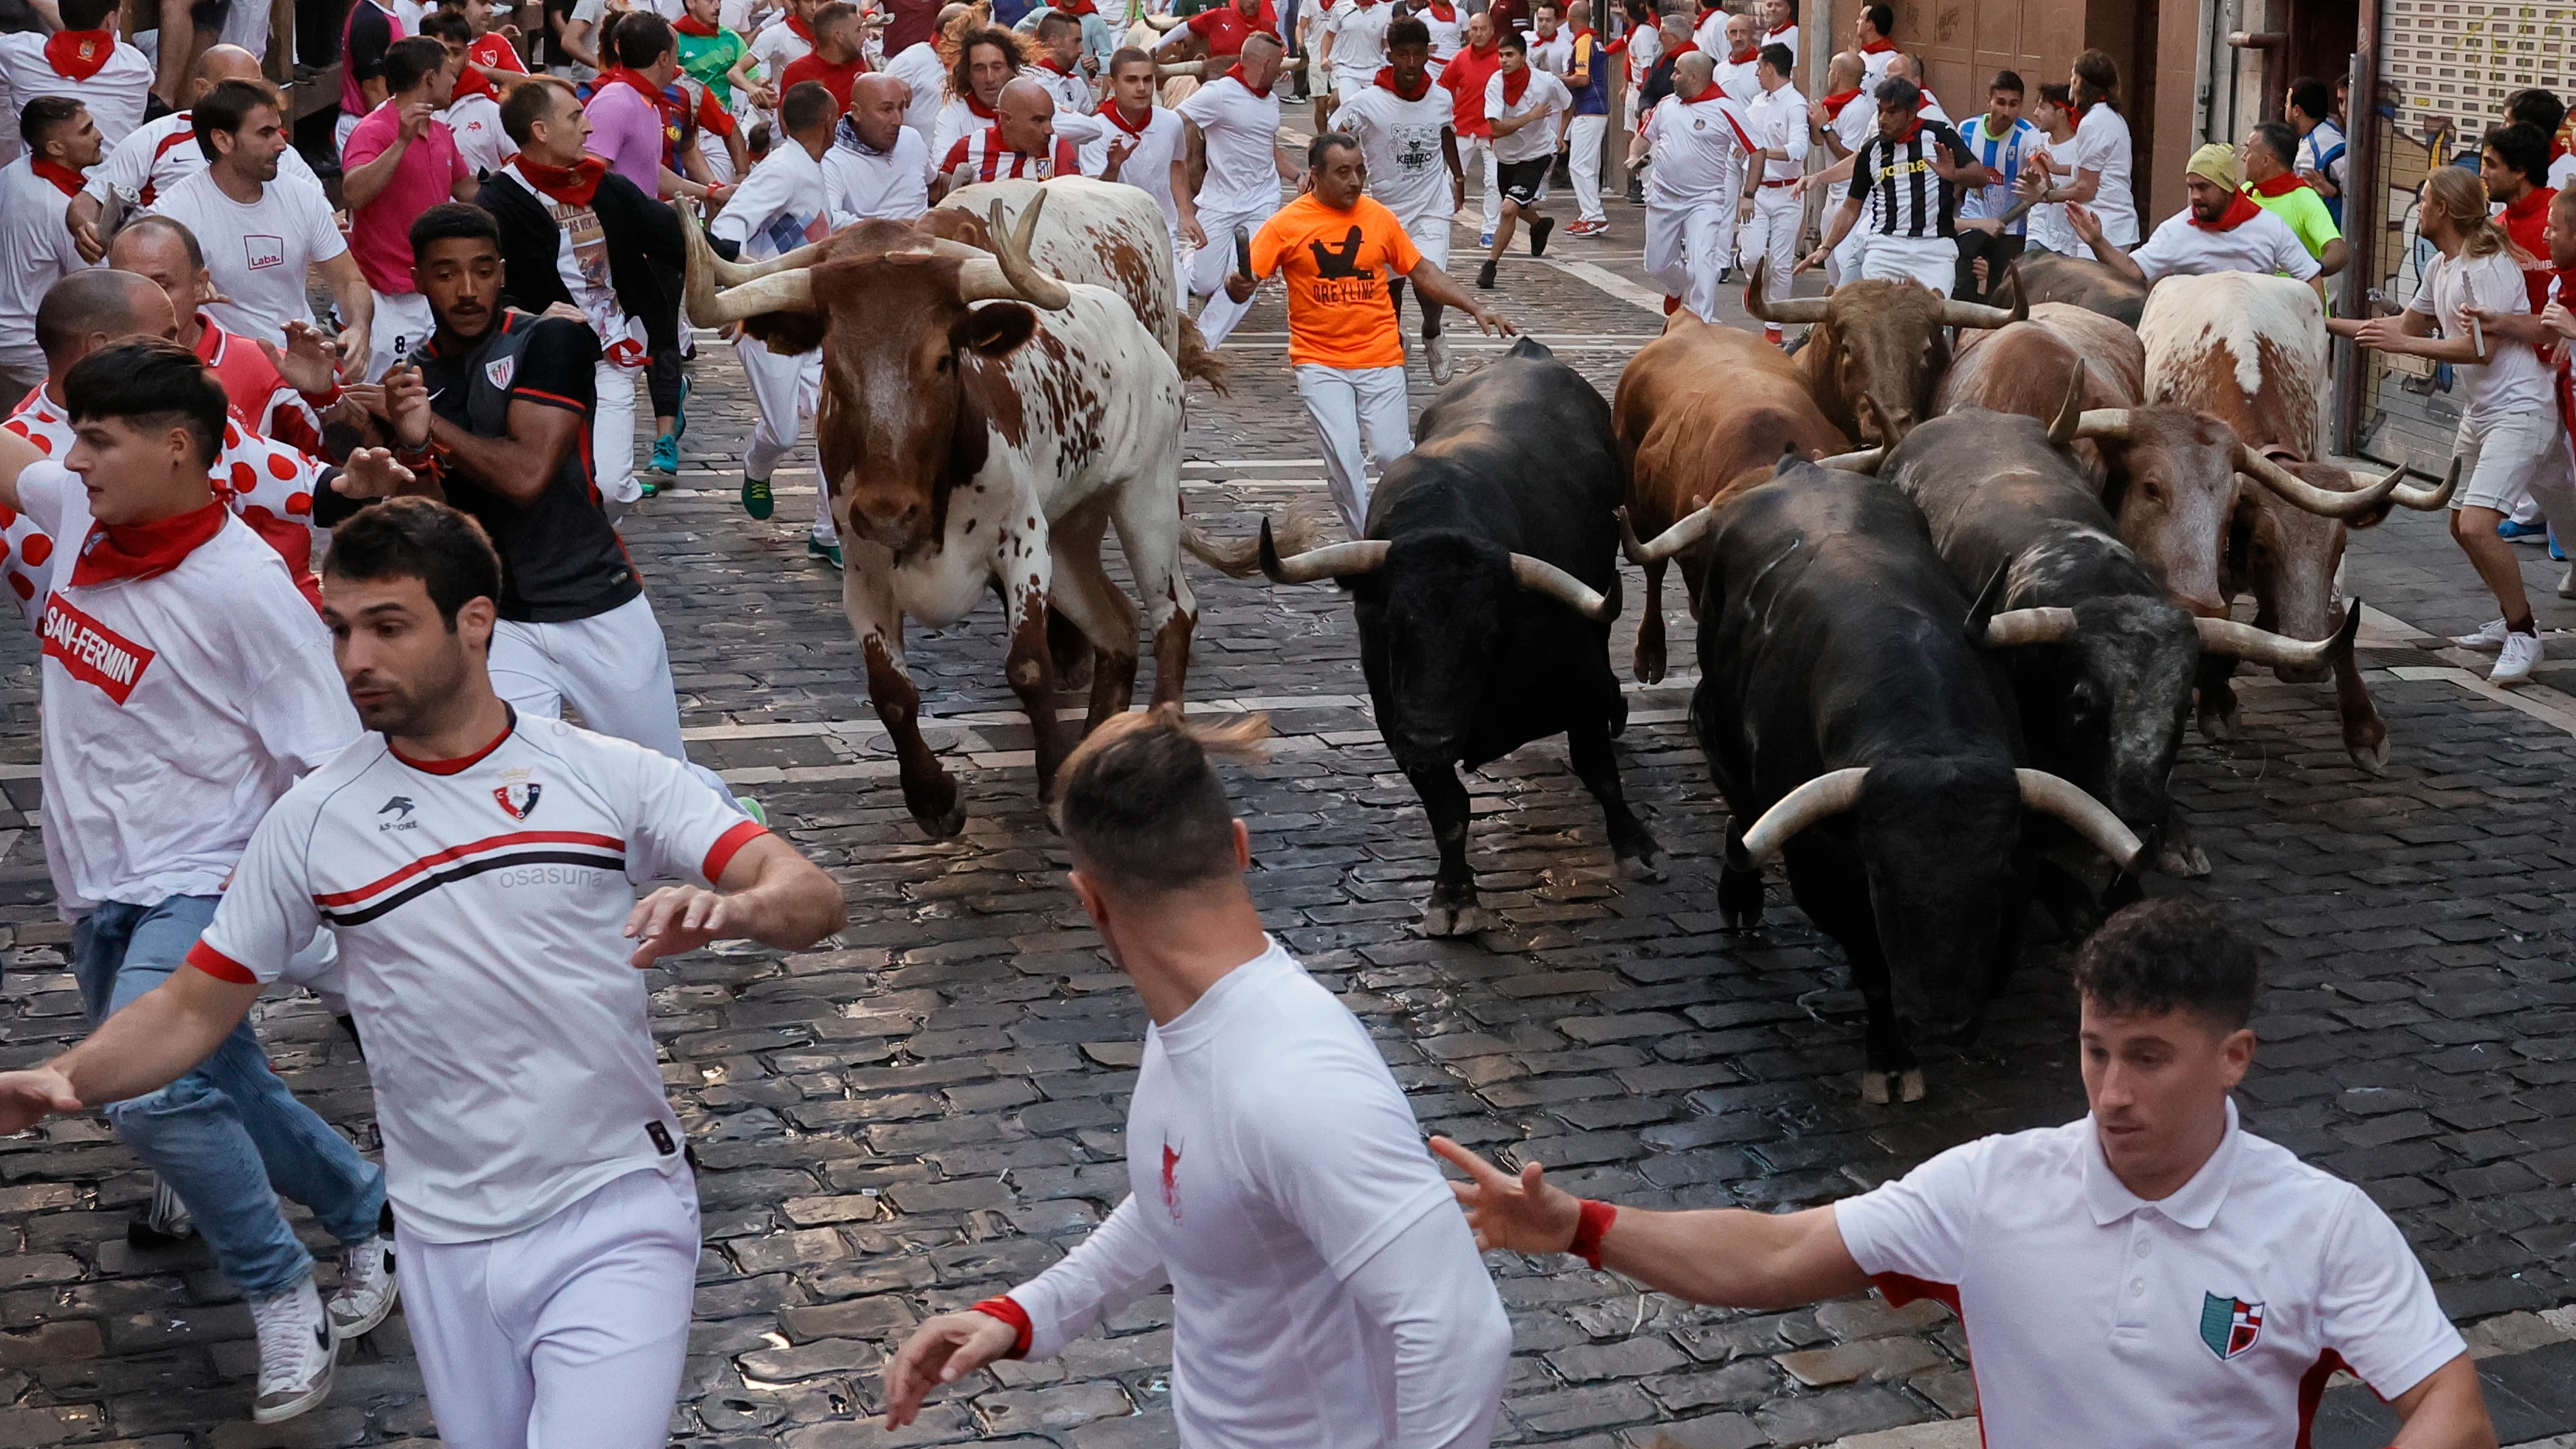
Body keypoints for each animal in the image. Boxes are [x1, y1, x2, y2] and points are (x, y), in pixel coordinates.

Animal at [1257, 343, 1658, 938]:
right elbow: (1448, 811)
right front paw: (1453, 896)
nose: (1429, 739)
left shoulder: (1579, 683)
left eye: (1487, 636)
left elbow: (1599, 771)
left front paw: (1635, 846)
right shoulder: (1394, 719)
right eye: (1390, 627)